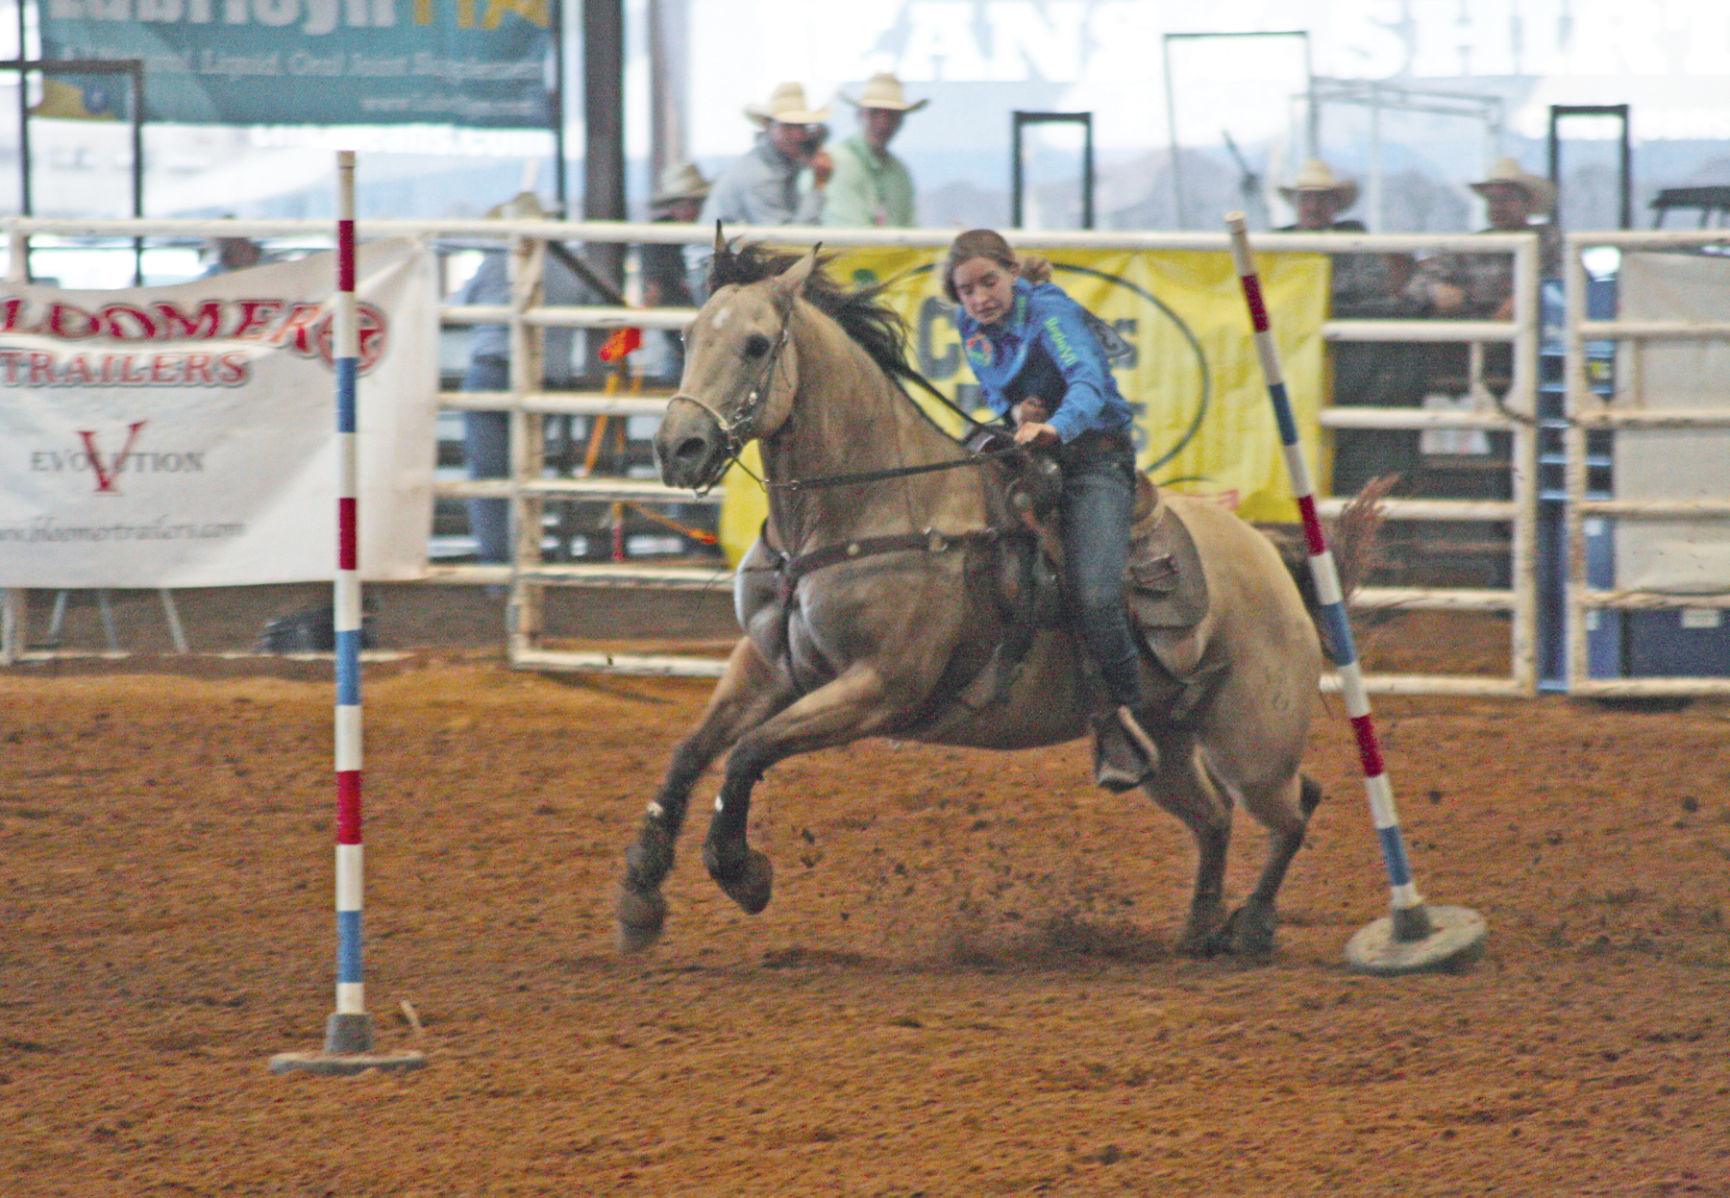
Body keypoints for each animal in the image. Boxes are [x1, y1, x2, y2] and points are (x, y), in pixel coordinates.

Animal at [612, 244, 1377, 962]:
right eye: (686, 338)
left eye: (756, 344)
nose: (678, 447)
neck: (869, 506)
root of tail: (1276, 564)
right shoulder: (768, 664)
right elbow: (692, 751)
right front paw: (641, 896)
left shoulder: (879, 687)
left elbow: (747, 752)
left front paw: (741, 872)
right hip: (1174, 744)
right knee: (1220, 818)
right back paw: (1201, 928)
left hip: (1254, 745)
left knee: (1293, 812)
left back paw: (1252, 925)